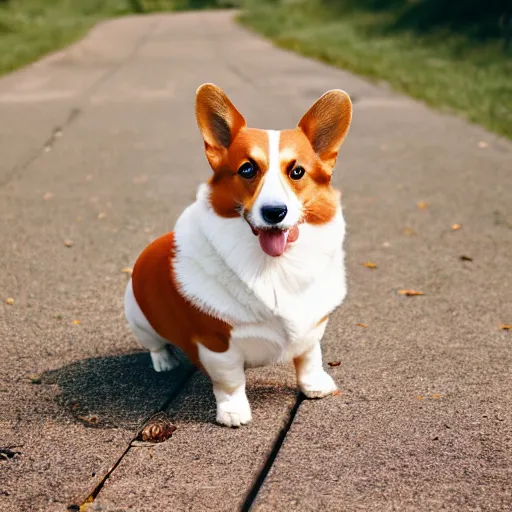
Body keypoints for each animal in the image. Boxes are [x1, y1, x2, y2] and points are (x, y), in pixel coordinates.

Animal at [126, 84, 354, 426]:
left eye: (297, 171)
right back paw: (164, 361)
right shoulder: (217, 344)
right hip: (140, 318)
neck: (275, 267)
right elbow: (230, 381)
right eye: (247, 169)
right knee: (156, 345)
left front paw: (316, 386)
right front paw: (233, 413)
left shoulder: (313, 328)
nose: (274, 212)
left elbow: (310, 358)